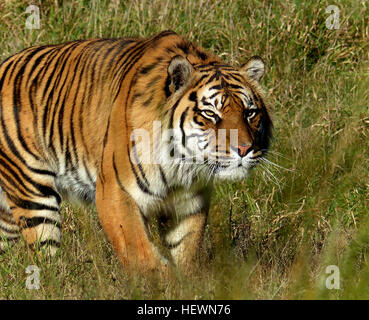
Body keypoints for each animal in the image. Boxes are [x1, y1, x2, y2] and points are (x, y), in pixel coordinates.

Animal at [0, 30, 270, 274]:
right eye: (210, 114)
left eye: (250, 113)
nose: (244, 148)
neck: (182, 164)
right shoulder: (115, 193)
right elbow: (142, 254)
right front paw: (164, 284)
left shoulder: (188, 202)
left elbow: (186, 251)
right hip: (34, 194)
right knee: (45, 257)